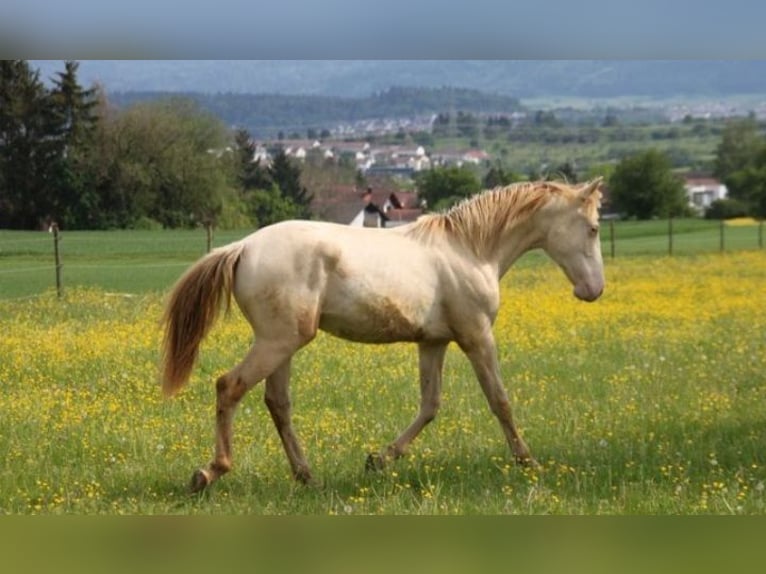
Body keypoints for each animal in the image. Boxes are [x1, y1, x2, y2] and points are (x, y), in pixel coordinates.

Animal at [160, 178, 608, 492]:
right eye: (592, 228)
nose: (593, 290)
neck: (471, 249)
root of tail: (243, 248)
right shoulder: (477, 337)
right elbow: (499, 400)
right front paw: (528, 463)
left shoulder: (433, 342)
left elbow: (430, 405)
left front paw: (380, 459)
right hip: (277, 343)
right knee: (229, 386)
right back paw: (209, 473)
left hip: (283, 345)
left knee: (278, 403)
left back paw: (307, 477)